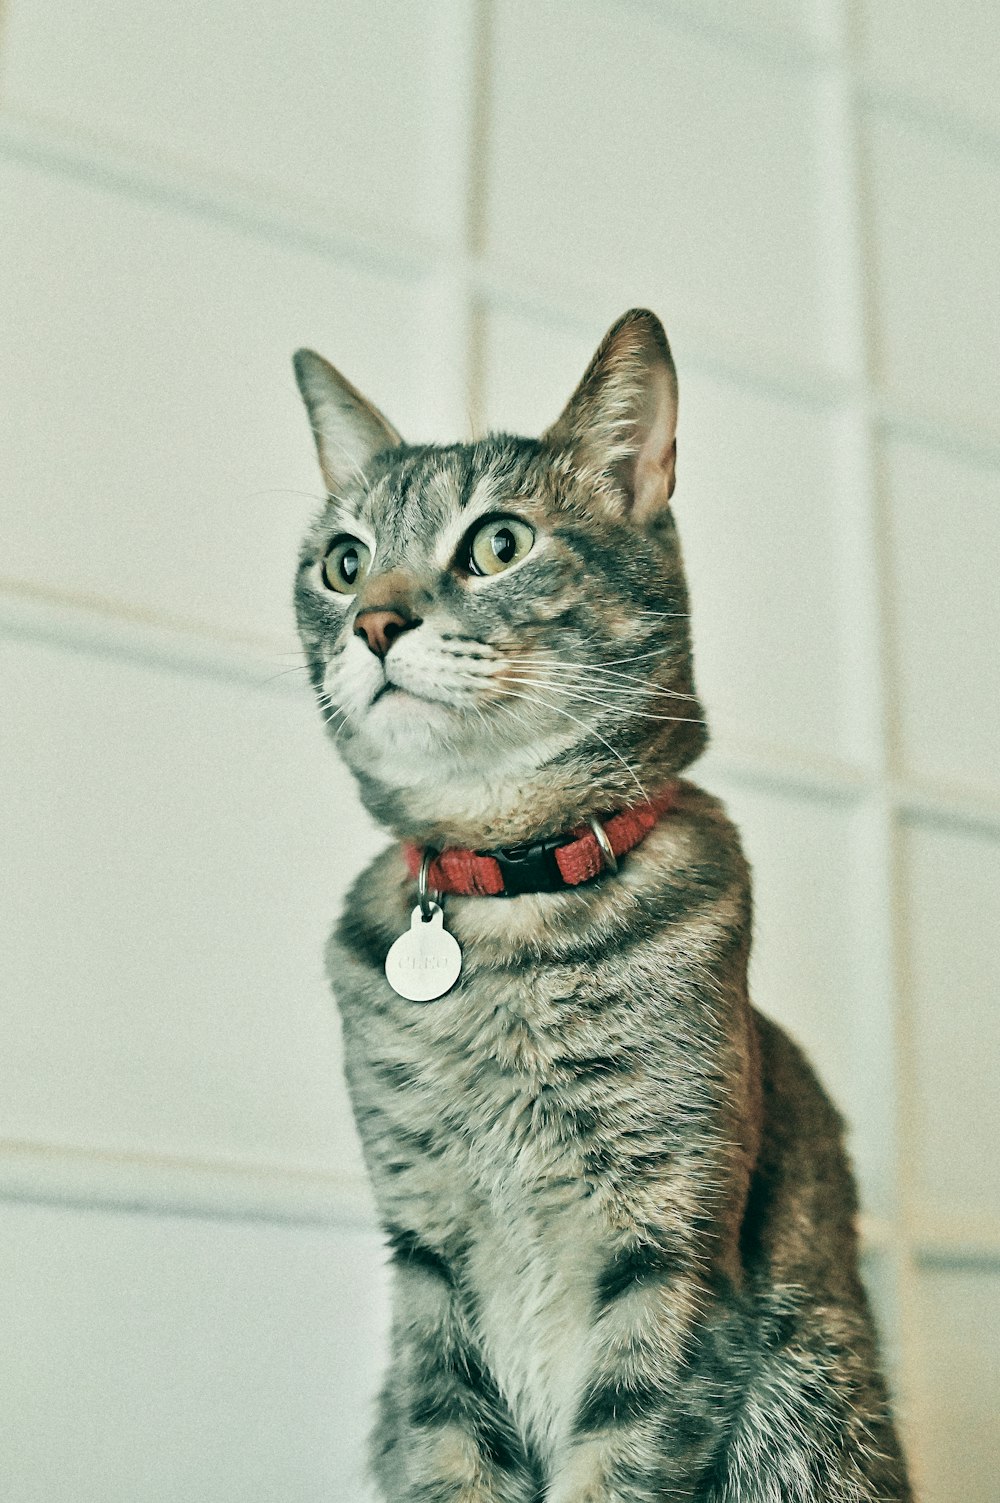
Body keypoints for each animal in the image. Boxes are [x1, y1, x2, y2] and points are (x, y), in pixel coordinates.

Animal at [290, 308, 914, 1503]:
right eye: (343, 564)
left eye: (497, 544)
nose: (375, 622)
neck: (508, 902)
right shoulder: (426, 1265)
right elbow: (450, 1451)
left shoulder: (670, 1248)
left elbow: (618, 1452)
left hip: (811, 1404)